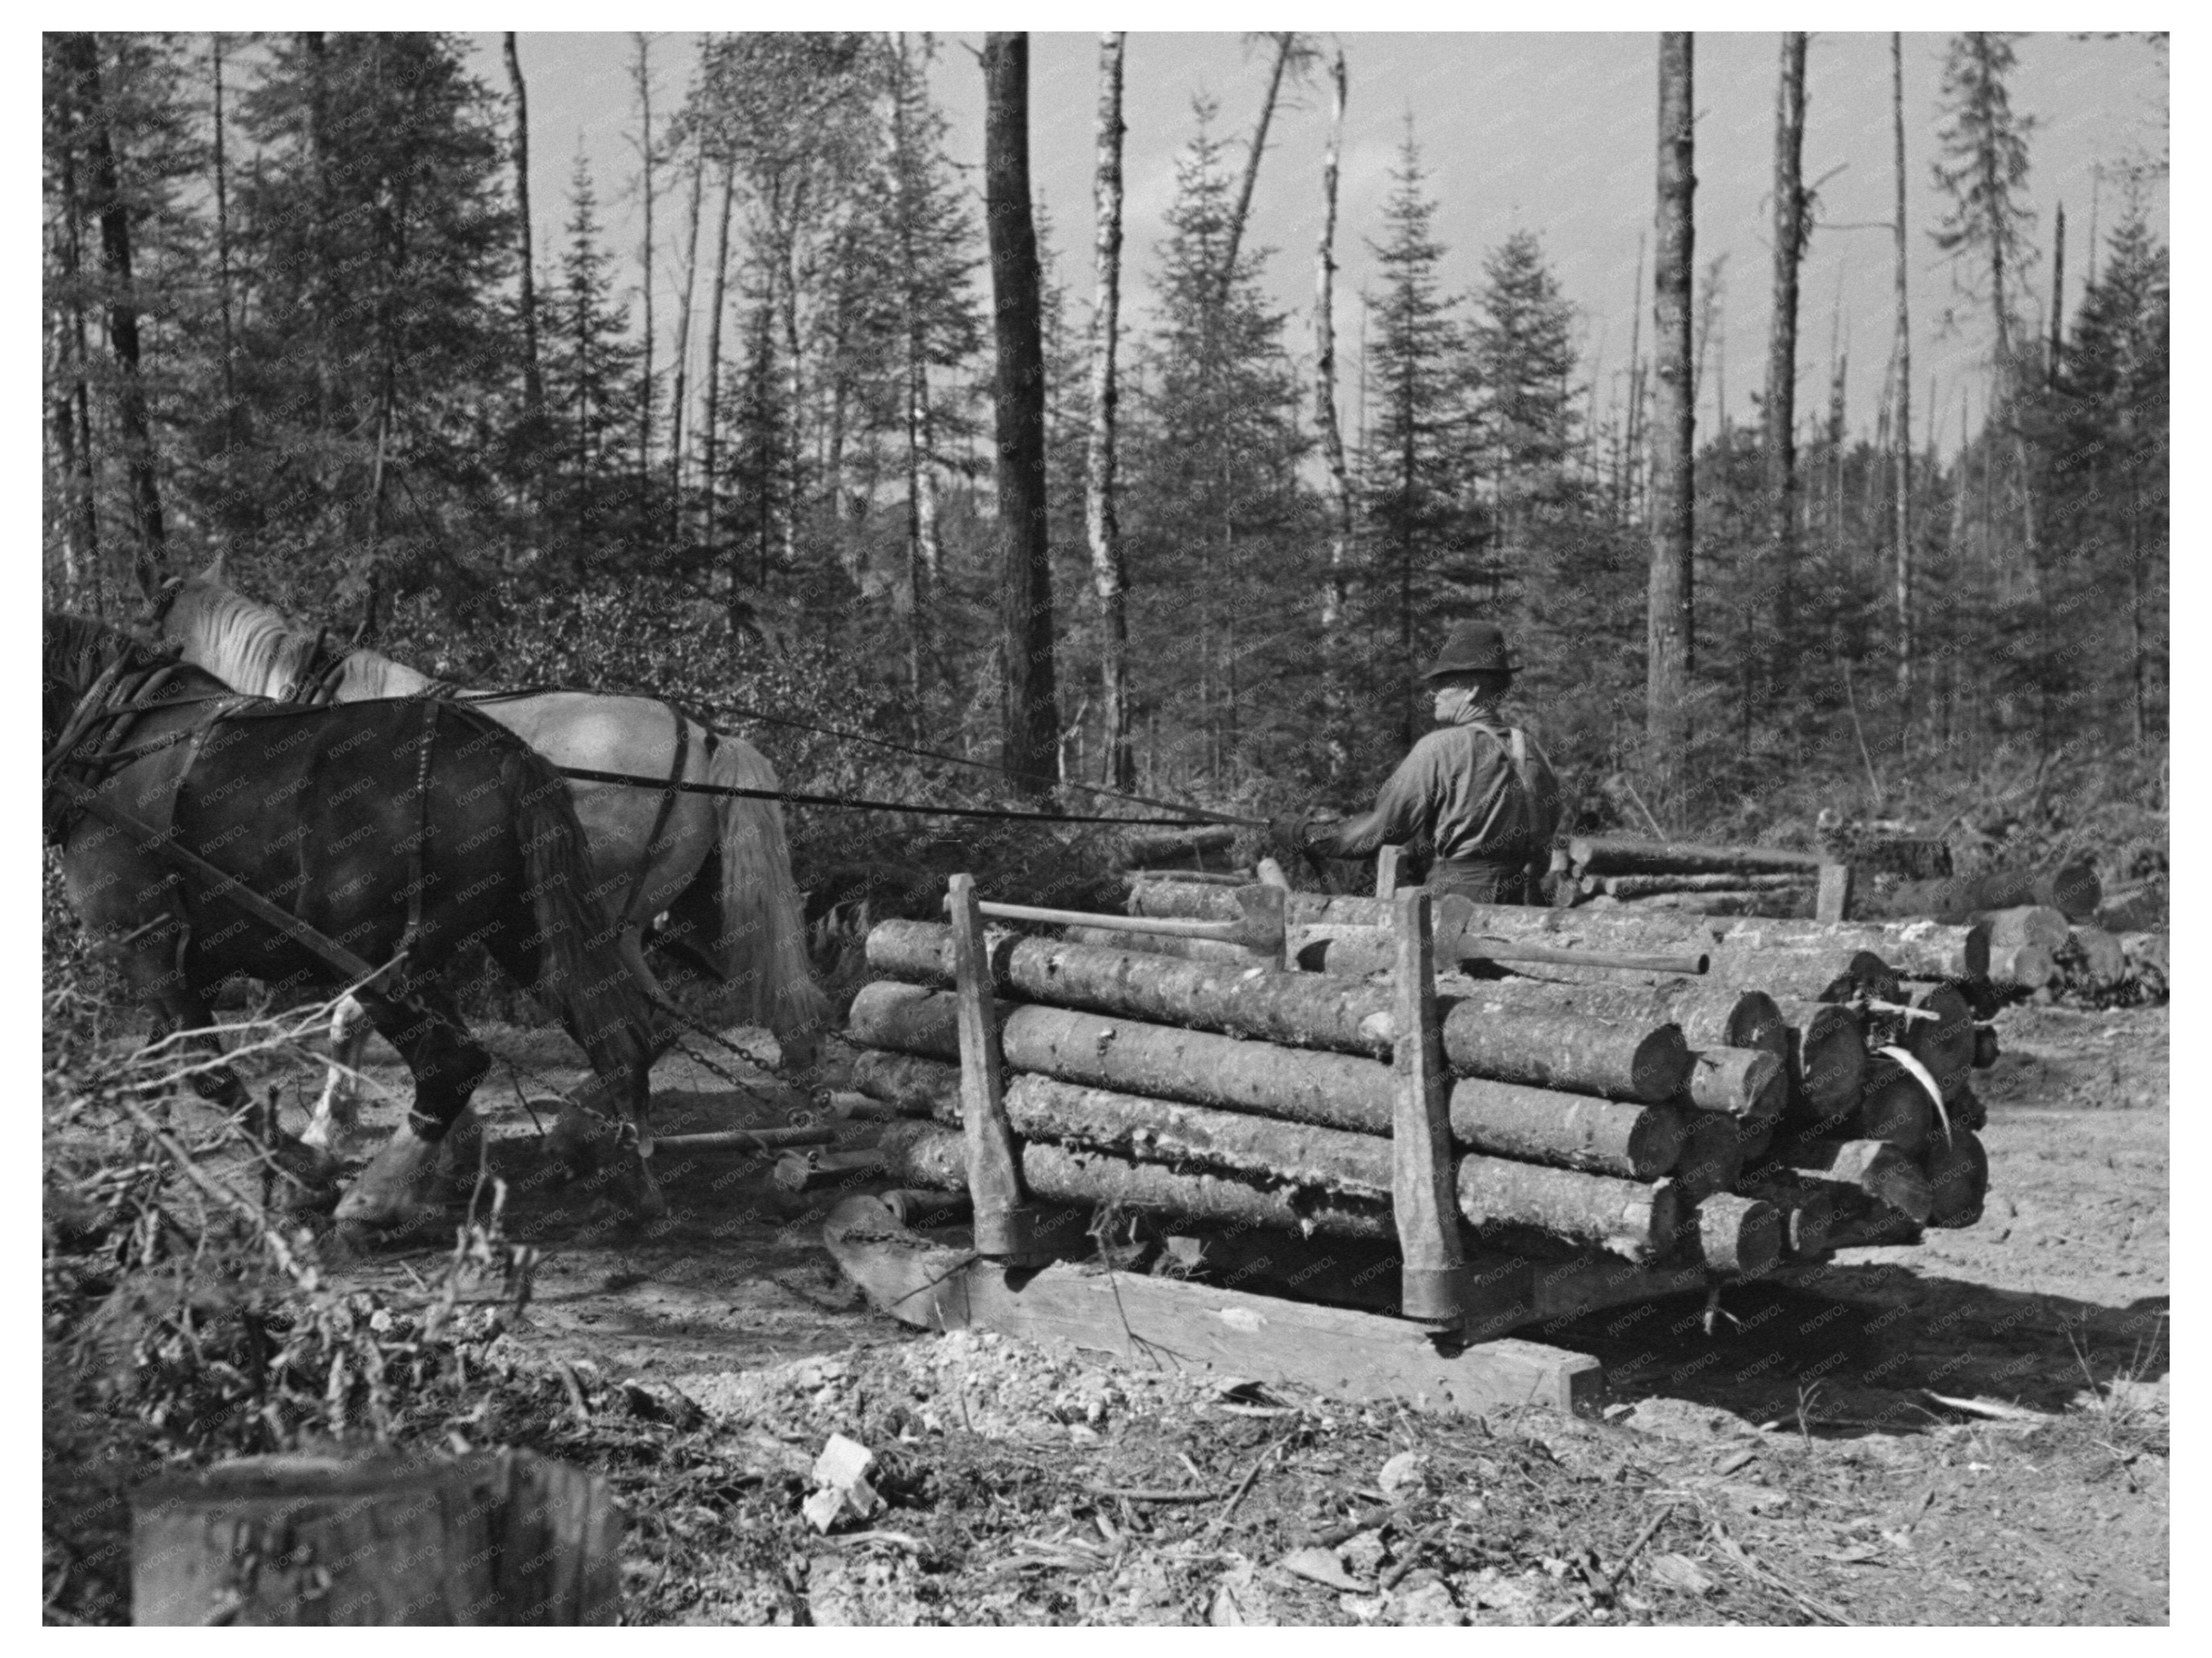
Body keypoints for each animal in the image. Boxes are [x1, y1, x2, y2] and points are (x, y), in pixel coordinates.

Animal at [45, 618, 663, 1229]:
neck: (113, 746)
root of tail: (503, 751)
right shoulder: (194, 965)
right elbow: (155, 1077)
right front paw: (123, 1200)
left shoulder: (146, 951)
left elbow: (208, 1076)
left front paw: (303, 1174)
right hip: (521, 934)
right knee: (618, 1039)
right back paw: (627, 1181)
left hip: (372, 956)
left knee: (451, 1065)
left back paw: (373, 1200)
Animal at [154, 566, 831, 1149]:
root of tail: (706, 738)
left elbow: (353, 1017)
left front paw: (331, 1124)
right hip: (692, 911)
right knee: (747, 1000)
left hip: (606, 918)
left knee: (637, 1019)